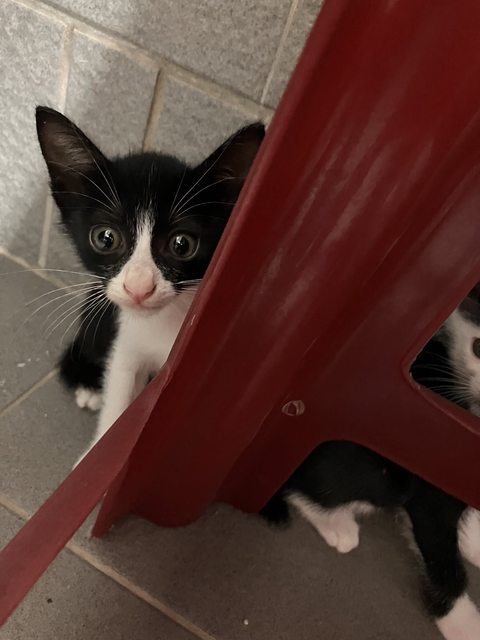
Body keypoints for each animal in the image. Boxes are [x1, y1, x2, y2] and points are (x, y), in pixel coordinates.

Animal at [35, 106, 265, 463]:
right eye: (105, 238)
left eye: (182, 244)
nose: (139, 287)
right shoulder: (127, 342)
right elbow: (119, 394)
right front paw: (97, 458)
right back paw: (89, 386)